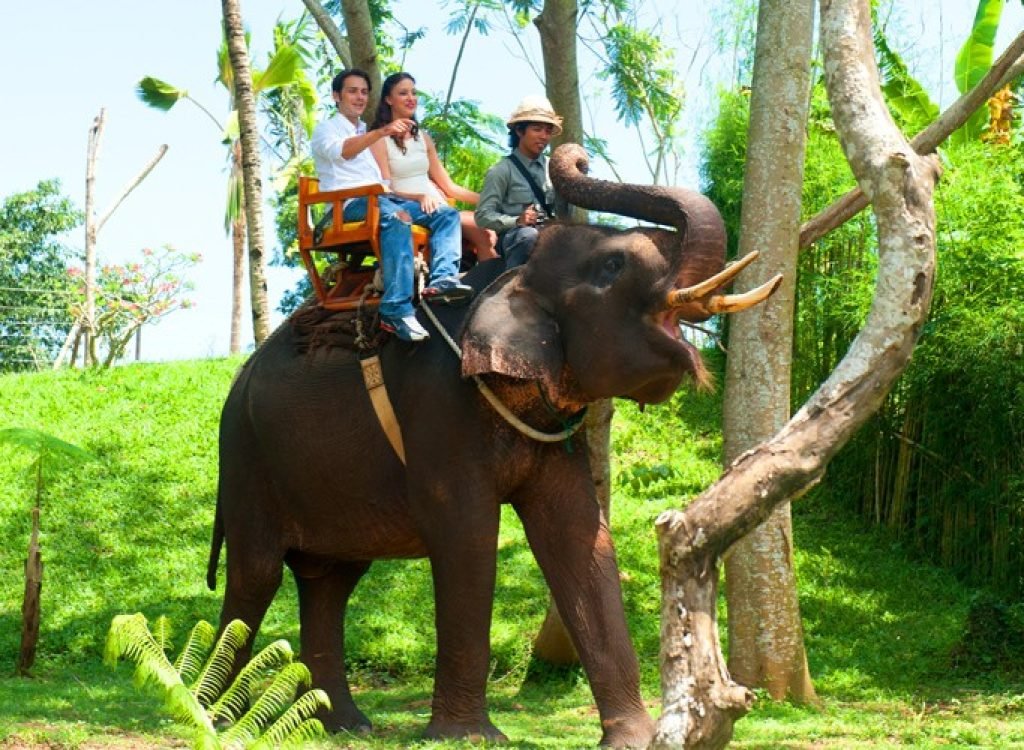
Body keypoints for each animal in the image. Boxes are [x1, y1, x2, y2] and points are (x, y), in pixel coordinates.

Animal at [206, 143, 778, 747]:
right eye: (614, 266)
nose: (575, 155)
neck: (511, 276)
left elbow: (578, 534)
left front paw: (635, 739)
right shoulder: (439, 406)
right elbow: (467, 534)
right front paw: (468, 737)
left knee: (330, 580)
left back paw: (344, 726)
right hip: (245, 458)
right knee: (257, 575)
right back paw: (218, 717)